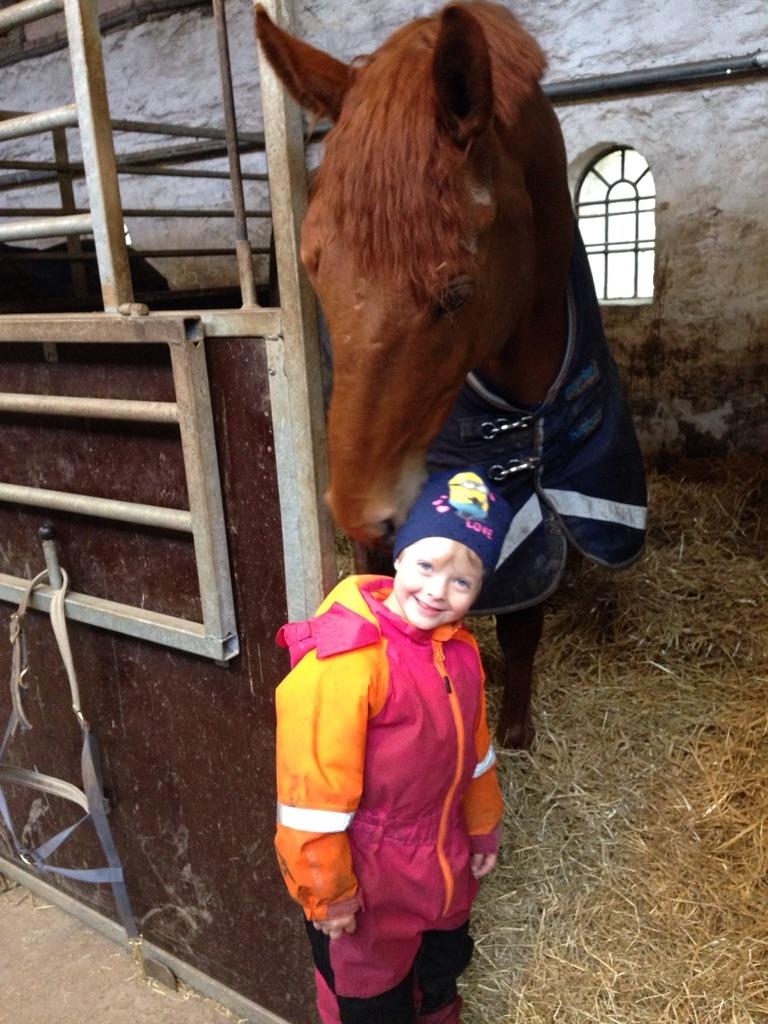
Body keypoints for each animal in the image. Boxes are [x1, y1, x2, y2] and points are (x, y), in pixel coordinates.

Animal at [256, 4, 647, 749]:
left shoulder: (538, 503)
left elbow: (524, 621)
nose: (360, 509)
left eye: (457, 293)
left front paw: (515, 728)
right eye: (312, 265)